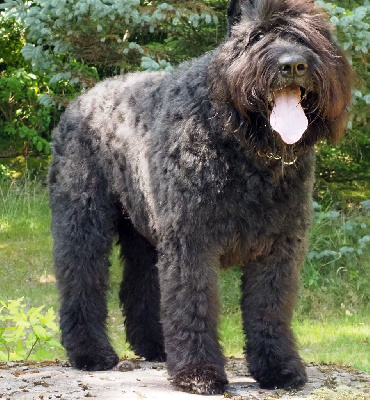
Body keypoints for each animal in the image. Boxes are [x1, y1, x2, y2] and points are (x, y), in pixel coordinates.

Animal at [49, 0, 352, 394]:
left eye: (310, 35)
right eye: (258, 35)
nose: (293, 64)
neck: (241, 143)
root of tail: (80, 102)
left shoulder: (280, 246)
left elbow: (270, 307)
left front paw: (278, 368)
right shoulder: (192, 241)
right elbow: (194, 305)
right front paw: (198, 372)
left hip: (145, 235)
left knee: (140, 287)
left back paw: (156, 346)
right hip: (83, 222)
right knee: (81, 282)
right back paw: (90, 352)